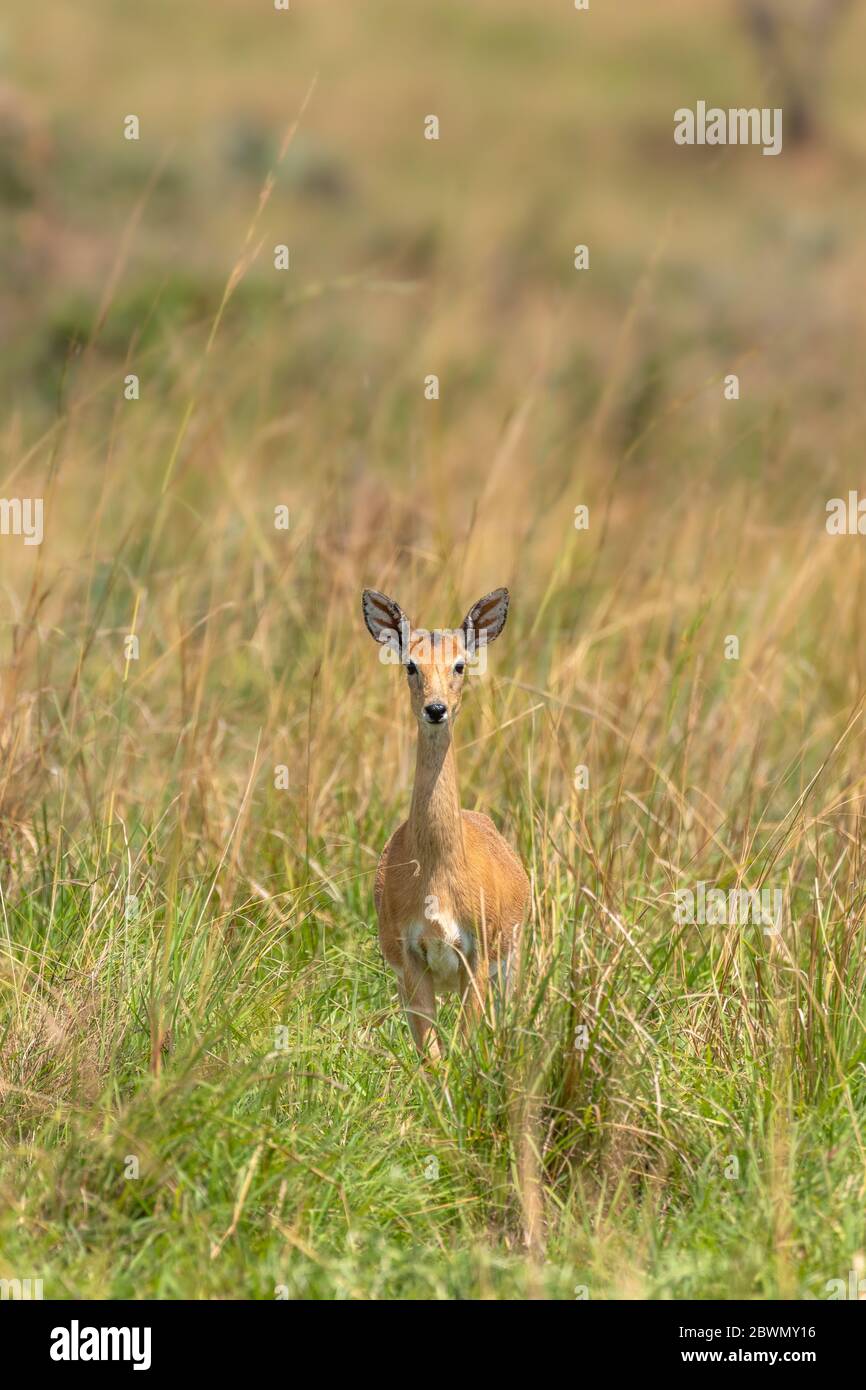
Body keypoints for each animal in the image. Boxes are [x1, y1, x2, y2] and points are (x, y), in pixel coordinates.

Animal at [361, 583, 528, 1050]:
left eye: (459, 664)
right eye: (411, 665)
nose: (436, 709)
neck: (437, 872)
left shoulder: (478, 954)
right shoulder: (409, 958)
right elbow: (431, 1054)